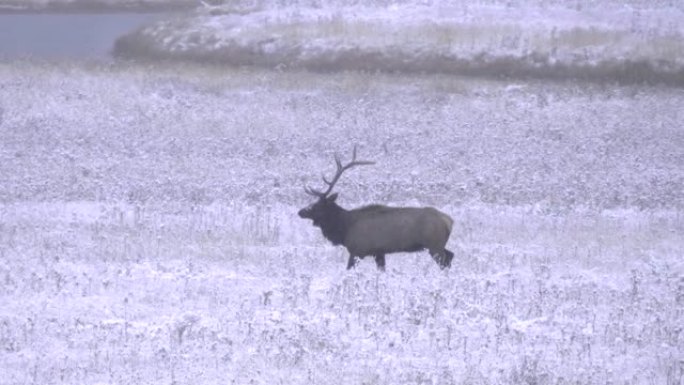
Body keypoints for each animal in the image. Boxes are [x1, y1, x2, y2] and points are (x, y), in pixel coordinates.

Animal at [298, 146, 454, 270]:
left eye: (318, 205)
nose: (300, 212)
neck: (345, 229)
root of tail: (449, 221)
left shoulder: (358, 251)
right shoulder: (379, 252)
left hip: (434, 245)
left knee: (445, 261)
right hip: (438, 245)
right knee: (451, 255)